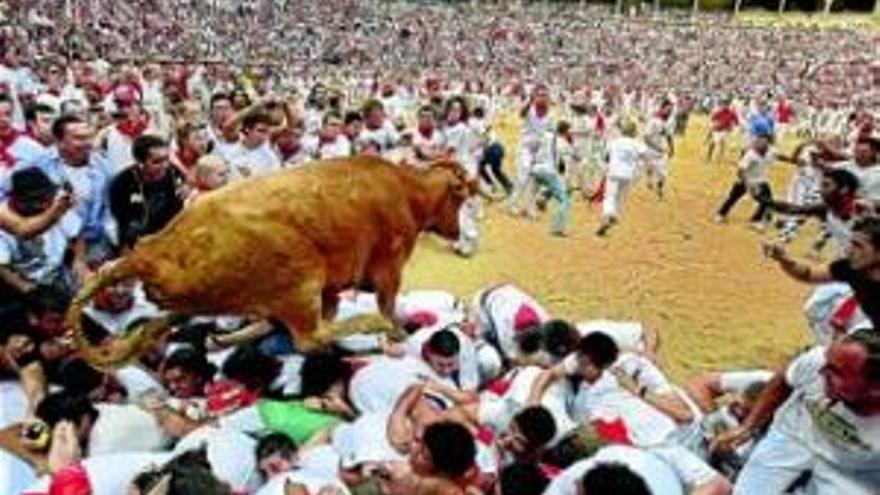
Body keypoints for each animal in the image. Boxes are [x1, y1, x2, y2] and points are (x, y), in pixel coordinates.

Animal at [69, 157, 474, 370]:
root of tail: (149, 255)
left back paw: (221, 337)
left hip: (195, 302)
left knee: (152, 330)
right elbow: (385, 306)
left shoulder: (331, 287)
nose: (456, 231)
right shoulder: (388, 267)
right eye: (459, 199)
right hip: (299, 284)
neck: (406, 190)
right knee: (310, 338)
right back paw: (368, 323)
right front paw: (394, 330)